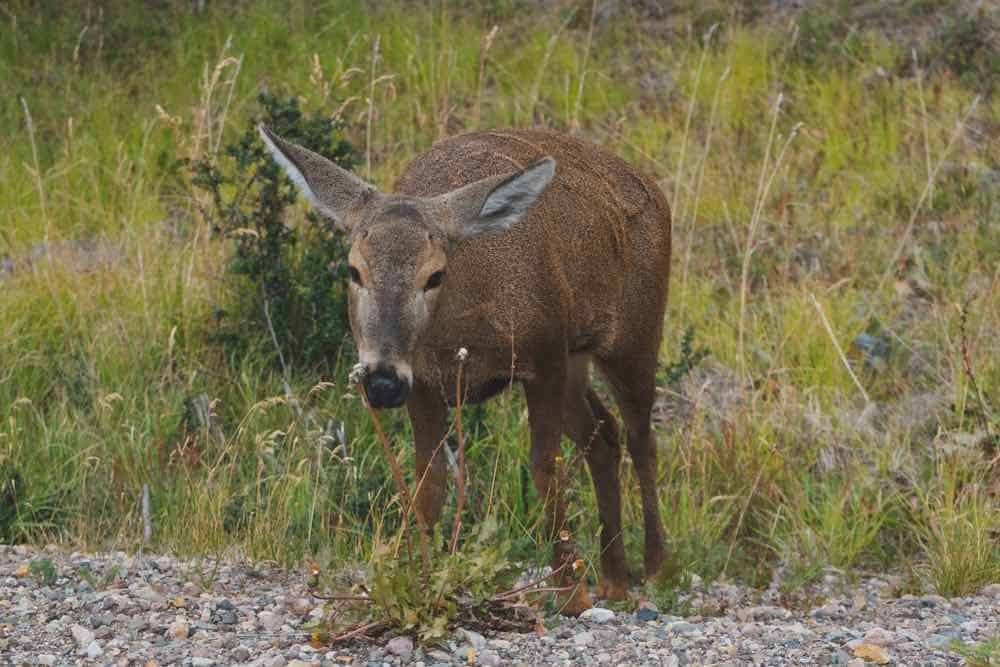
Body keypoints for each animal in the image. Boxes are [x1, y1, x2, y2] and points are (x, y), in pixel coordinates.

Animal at [258, 125, 672, 616]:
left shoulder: (545, 354)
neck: (462, 331)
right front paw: (411, 571)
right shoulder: (423, 383)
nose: (381, 381)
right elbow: (429, 478)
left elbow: (544, 468)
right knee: (604, 433)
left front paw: (570, 593)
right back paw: (614, 579)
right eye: (354, 270)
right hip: (578, 359)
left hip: (636, 332)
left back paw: (655, 568)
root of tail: (654, 189)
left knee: (642, 438)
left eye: (434, 275)